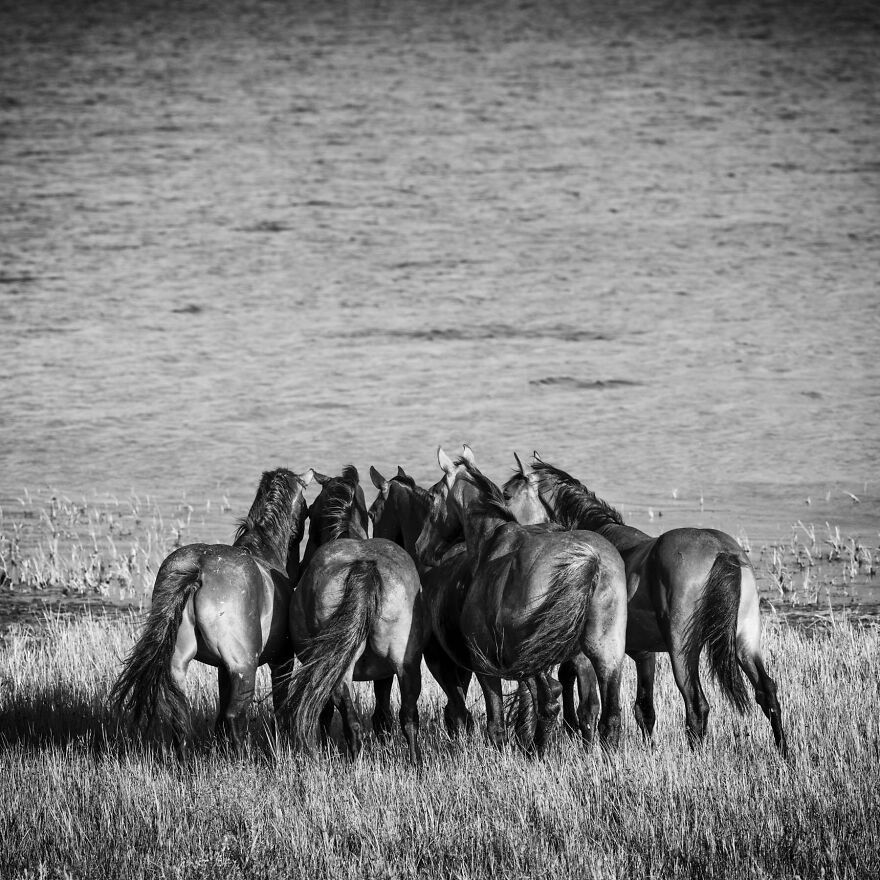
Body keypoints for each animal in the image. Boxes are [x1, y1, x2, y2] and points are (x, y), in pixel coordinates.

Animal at [110, 467, 313, 753]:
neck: (264, 551)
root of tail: (198, 570)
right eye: (306, 509)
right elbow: (281, 707)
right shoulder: (280, 660)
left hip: (178, 663)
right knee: (234, 716)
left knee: (181, 716)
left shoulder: (222, 668)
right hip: (244, 666)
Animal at [286, 466, 427, 765]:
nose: (301, 565)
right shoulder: (386, 672)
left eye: (311, 510)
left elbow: (326, 713)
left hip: (340, 673)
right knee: (409, 717)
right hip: (407, 664)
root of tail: (364, 566)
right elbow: (383, 713)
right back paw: (415, 763)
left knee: (352, 723)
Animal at [413, 446, 628, 753]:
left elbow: (496, 723)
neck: (490, 543)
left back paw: (538, 751)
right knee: (606, 716)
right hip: (606, 653)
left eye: (432, 497)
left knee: (548, 701)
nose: (421, 547)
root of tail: (590, 559)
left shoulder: (484, 664)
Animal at [503, 454, 787, 755]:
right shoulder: (643, 655)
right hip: (745, 642)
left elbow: (587, 706)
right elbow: (644, 709)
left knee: (696, 705)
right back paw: (784, 752)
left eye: (507, 494)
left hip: (682, 651)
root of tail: (721, 551)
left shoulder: (586, 655)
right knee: (767, 692)